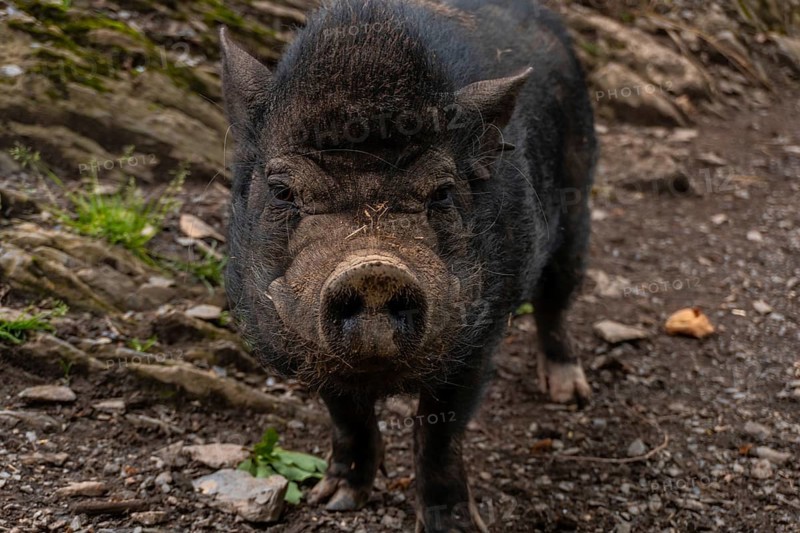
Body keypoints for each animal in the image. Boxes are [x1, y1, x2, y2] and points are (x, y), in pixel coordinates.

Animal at [220, 0, 596, 530]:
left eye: (441, 192)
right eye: (281, 191)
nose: (374, 268)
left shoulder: (479, 334)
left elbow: (438, 434)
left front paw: (456, 525)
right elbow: (346, 415)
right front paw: (334, 500)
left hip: (577, 203)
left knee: (556, 300)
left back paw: (569, 394)